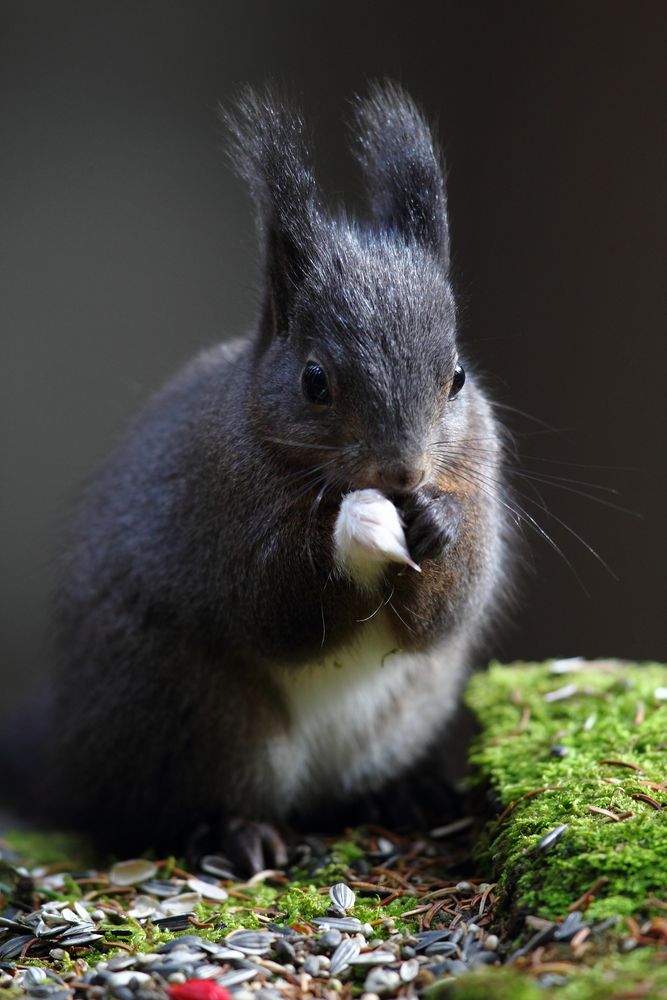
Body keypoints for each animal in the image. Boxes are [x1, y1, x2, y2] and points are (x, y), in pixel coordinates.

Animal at [51, 84, 512, 868]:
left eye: (455, 377)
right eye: (314, 380)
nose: (403, 471)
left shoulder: (480, 469)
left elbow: (447, 609)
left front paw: (436, 521)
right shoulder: (216, 505)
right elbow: (278, 608)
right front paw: (355, 527)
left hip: (401, 714)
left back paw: (404, 794)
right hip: (194, 717)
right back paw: (231, 831)